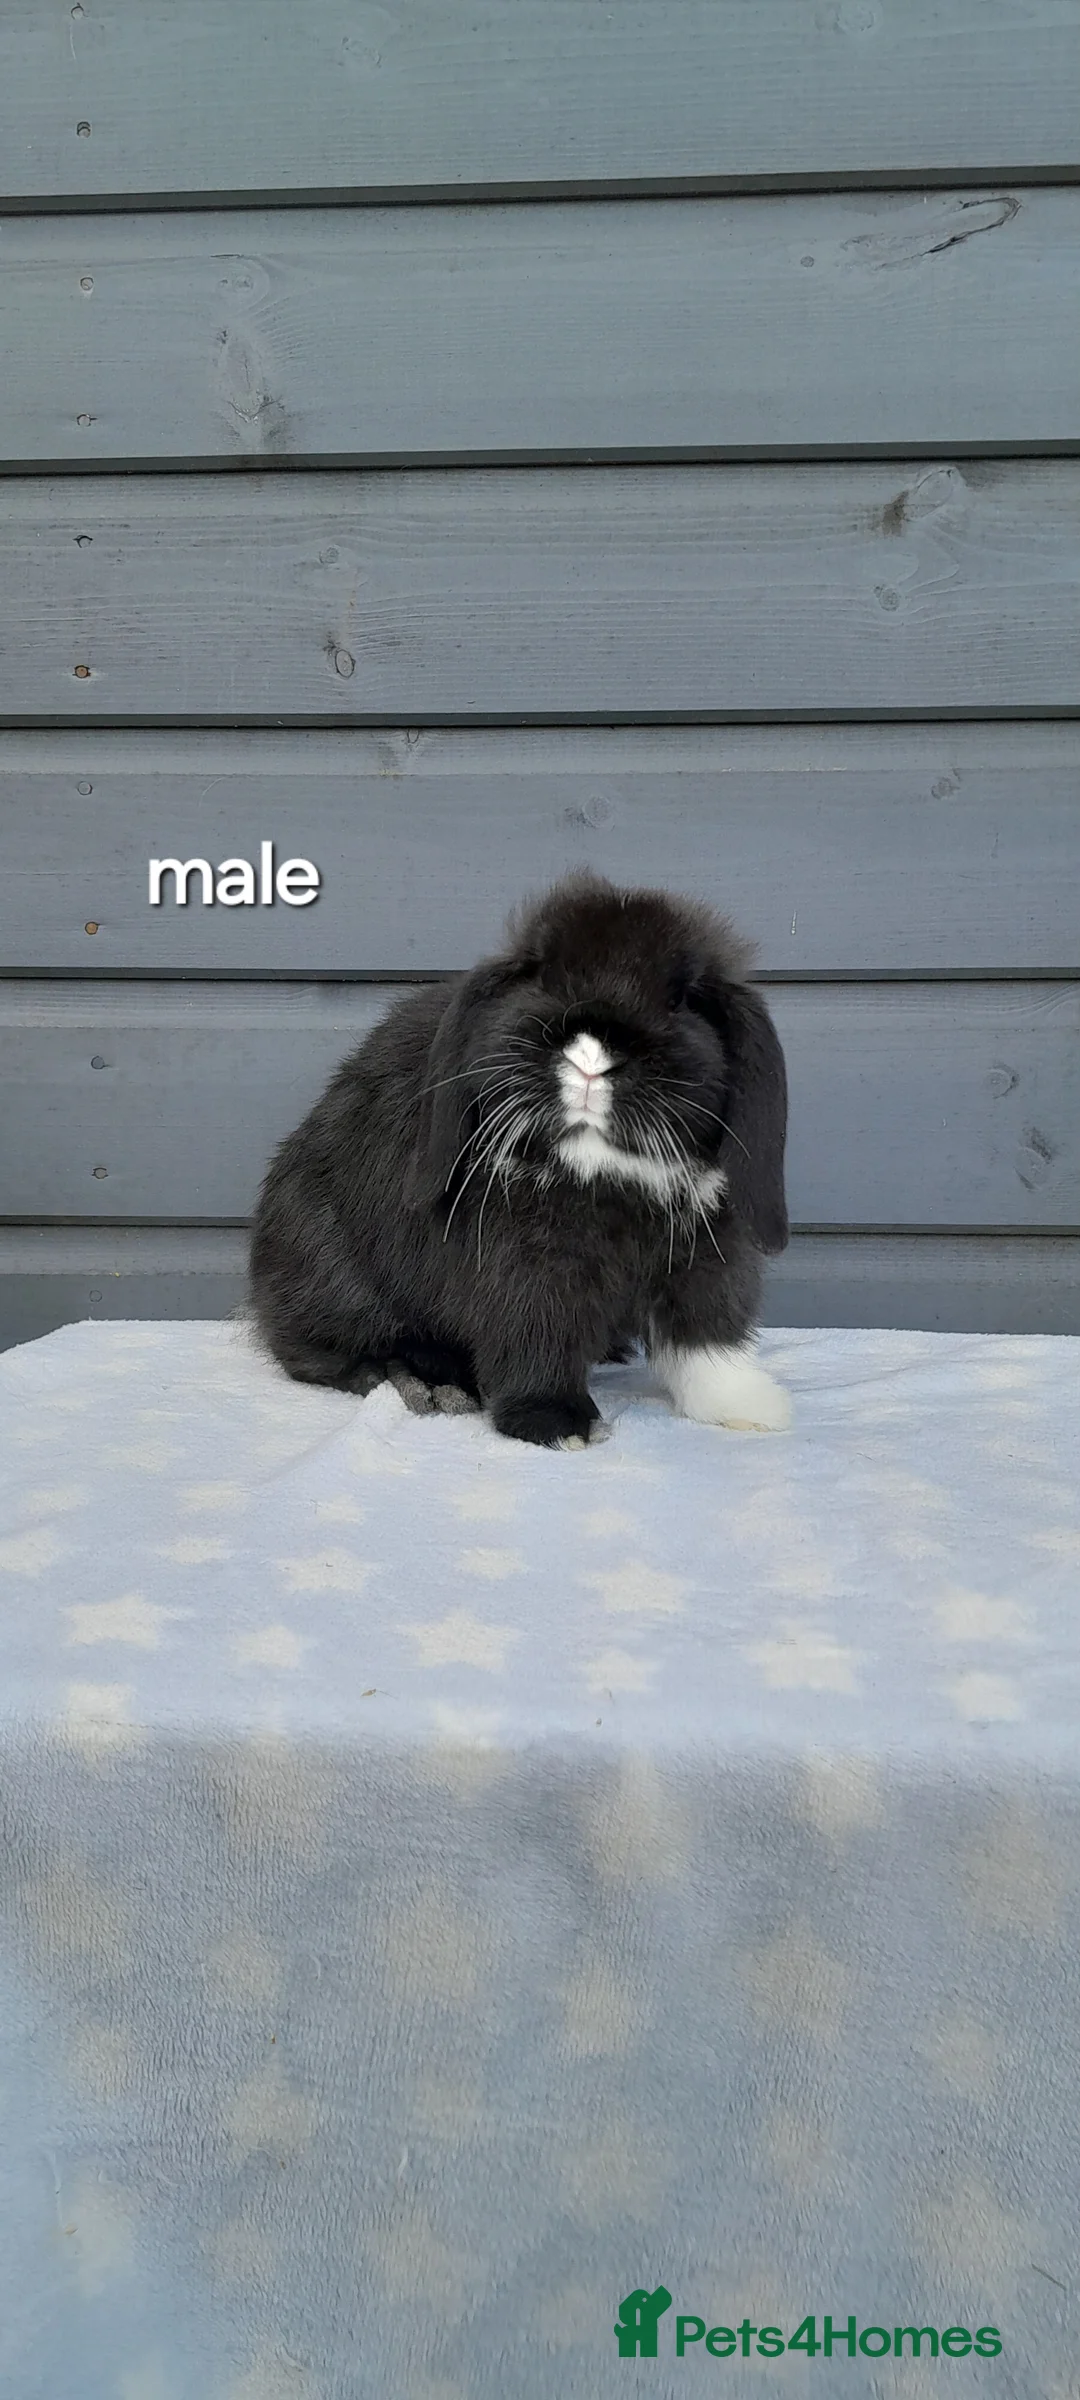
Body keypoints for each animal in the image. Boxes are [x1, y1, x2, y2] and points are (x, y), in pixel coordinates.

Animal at [249, 872, 791, 1447]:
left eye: (681, 998)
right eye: (543, 977)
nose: (590, 1058)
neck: (606, 1168)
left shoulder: (707, 1248)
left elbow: (708, 1338)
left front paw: (749, 1408)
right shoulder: (526, 1269)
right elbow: (537, 1339)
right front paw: (559, 1424)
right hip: (332, 1272)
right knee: (325, 1351)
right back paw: (428, 1384)